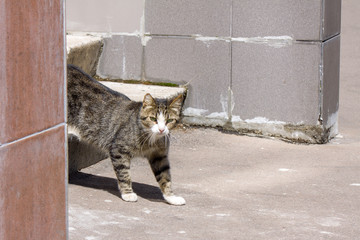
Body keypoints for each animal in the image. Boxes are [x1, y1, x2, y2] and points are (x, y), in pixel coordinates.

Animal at [67, 64, 186, 205]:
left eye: (169, 121)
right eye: (153, 119)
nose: (162, 130)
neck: (151, 139)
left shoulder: (159, 155)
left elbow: (165, 176)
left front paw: (171, 197)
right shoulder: (118, 150)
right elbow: (124, 173)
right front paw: (128, 194)